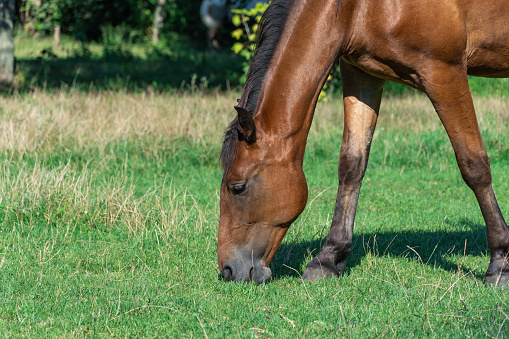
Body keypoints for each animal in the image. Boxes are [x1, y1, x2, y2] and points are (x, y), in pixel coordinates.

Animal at [217, 0, 508, 286]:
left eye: (237, 188)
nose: (228, 270)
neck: (355, 8)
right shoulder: (362, 73)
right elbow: (351, 166)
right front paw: (328, 259)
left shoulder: (444, 72)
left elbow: (473, 165)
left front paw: (499, 263)